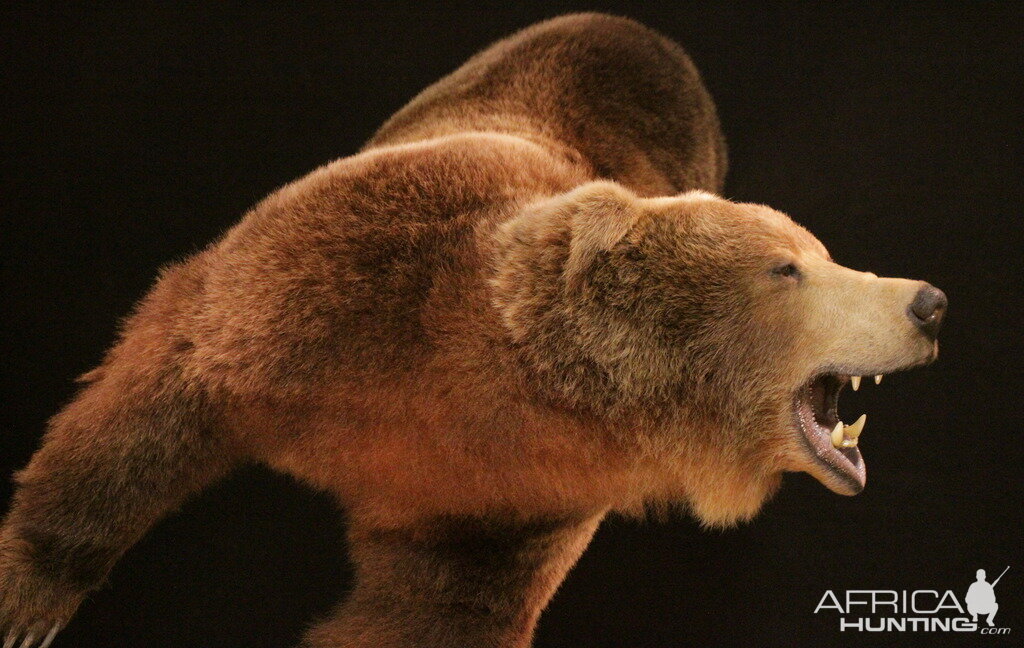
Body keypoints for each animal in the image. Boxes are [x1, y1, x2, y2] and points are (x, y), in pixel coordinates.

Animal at [2, 11, 942, 646]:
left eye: (826, 254)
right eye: (790, 268)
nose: (928, 302)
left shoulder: (502, 502)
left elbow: (435, 610)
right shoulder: (331, 284)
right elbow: (160, 382)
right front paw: (28, 601)